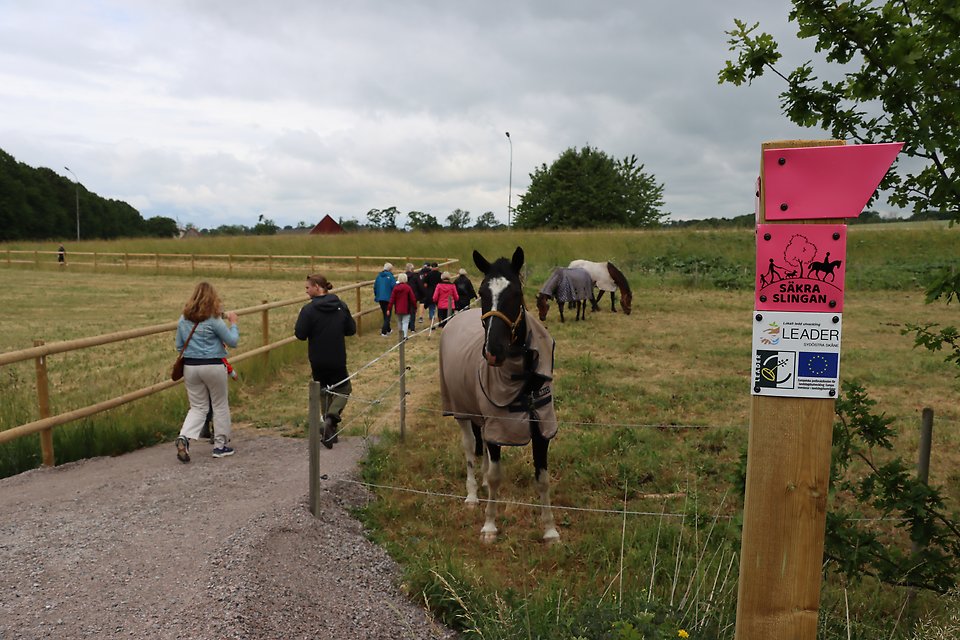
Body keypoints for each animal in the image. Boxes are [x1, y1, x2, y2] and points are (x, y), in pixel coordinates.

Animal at [438, 248, 560, 544]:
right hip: (461, 412)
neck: (523, 380)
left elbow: (543, 478)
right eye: (482, 292)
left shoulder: (541, 427)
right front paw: (489, 526)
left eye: (515, 292)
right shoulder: (497, 428)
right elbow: (495, 476)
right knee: (470, 447)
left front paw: (550, 530)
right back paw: (472, 494)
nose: (493, 352)